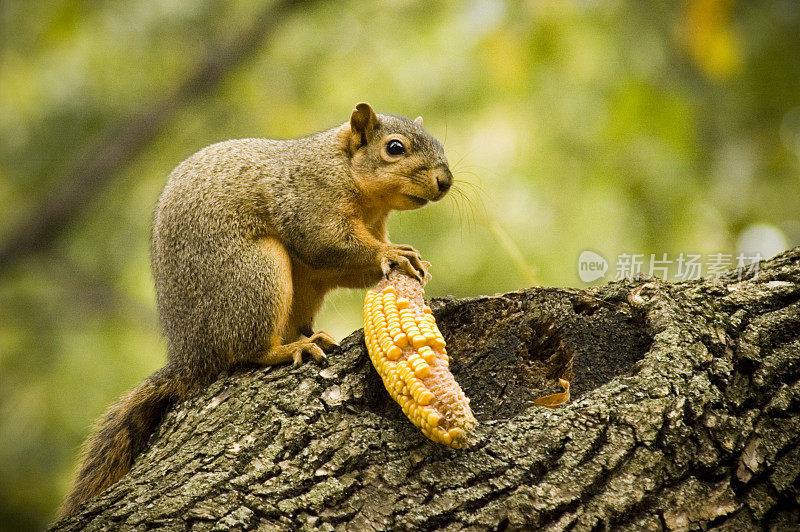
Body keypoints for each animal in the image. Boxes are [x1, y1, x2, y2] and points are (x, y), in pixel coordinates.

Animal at [59, 103, 454, 516]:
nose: (445, 181)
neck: (347, 172)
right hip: (257, 274)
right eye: (395, 148)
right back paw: (293, 348)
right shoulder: (309, 204)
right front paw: (390, 253)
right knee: (248, 351)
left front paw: (413, 264)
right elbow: (328, 243)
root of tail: (191, 356)